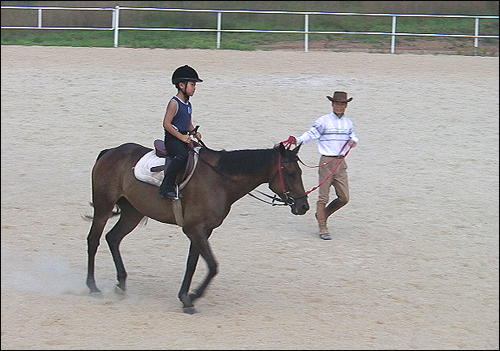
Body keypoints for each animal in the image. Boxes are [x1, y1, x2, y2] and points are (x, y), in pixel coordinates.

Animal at [85, 142, 308, 314]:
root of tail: (111, 151)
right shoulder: (194, 229)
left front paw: (185, 297)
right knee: (93, 240)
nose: (303, 206)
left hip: (133, 212)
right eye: (290, 173)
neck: (220, 180)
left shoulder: (202, 230)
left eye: (300, 172)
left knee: (113, 238)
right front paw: (192, 296)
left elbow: (192, 264)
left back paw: (121, 284)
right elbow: (212, 266)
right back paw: (93, 287)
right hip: (104, 206)